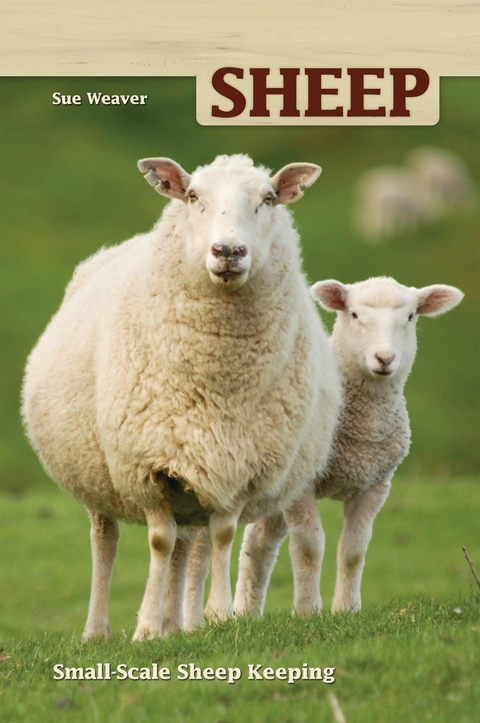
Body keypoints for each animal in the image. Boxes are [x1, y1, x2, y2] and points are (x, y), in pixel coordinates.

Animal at [21, 153, 341, 640]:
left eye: (268, 198)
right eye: (192, 196)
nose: (228, 251)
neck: (217, 383)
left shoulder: (236, 465)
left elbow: (221, 537)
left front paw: (217, 615)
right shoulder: (147, 467)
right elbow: (158, 541)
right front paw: (146, 628)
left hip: (192, 483)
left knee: (187, 547)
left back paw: (177, 626)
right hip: (99, 475)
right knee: (106, 543)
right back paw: (99, 630)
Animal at [231, 276, 464, 618]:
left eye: (410, 317)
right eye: (354, 314)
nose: (385, 359)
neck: (361, 431)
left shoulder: (375, 485)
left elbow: (354, 550)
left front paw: (347, 609)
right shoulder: (303, 488)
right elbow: (309, 548)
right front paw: (307, 611)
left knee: (257, 543)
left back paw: (245, 614)